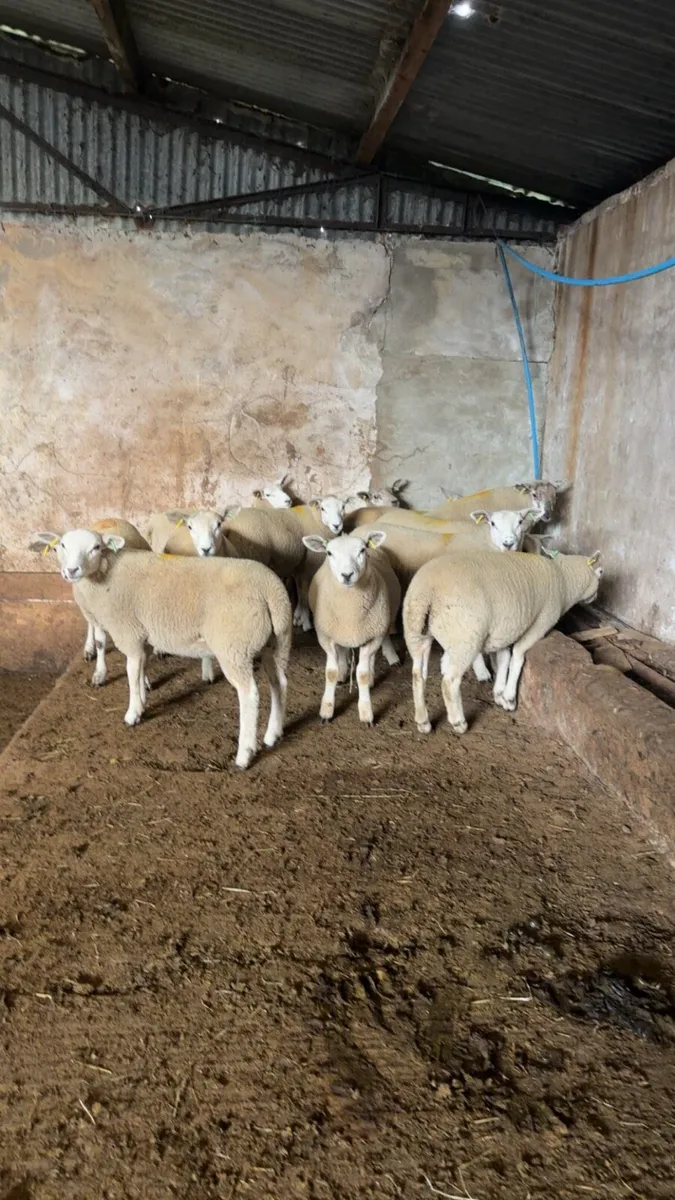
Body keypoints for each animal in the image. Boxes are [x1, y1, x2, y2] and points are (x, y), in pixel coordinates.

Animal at [30, 529, 292, 770]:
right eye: (62, 546)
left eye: (95, 547)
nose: (72, 570)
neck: (105, 576)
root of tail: (270, 590)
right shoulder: (143, 634)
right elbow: (141, 667)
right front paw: (144, 699)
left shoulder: (129, 633)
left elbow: (131, 671)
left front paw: (133, 712)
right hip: (276, 642)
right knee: (279, 683)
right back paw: (273, 734)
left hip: (234, 647)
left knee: (250, 695)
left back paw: (244, 755)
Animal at [302, 531, 401, 726]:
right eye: (329, 553)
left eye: (362, 550)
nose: (347, 575)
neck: (350, 612)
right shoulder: (326, 637)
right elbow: (331, 673)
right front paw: (327, 711)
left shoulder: (373, 636)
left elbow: (362, 674)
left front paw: (366, 713)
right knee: (344, 651)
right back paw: (343, 671)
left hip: (381, 623)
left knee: (377, 649)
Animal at [403, 549, 602, 735]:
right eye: (600, 572)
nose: (596, 597)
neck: (564, 579)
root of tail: (428, 591)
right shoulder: (541, 622)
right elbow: (517, 656)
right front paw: (509, 697)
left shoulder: (504, 629)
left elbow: (504, 658)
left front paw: (499, 692)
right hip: (465, 636)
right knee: (449, 682)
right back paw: (459, 722)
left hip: (416, 632)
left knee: (418, 674)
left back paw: (423, 721)